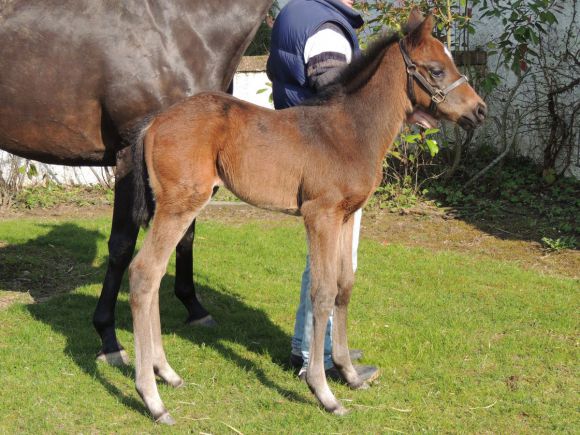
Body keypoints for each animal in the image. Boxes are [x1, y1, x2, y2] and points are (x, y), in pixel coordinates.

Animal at [0, 0, 272, 362]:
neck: (178, 27)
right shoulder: (129, 151)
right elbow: (122, 244)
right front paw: (108, 338)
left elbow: (185, 236)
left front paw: (195, 309)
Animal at [129, 11, 488, 424]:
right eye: (436, 69)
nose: (480, 110)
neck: (351, 131)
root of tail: (154, 122)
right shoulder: (320, 215)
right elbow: (322, 291)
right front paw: (323, 391)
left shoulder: (347, 215)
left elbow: (345, 285)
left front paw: (350, 373)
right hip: (180, 205)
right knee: (144, 273)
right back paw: (152, 399)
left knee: (155, 275)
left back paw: (166, 372)